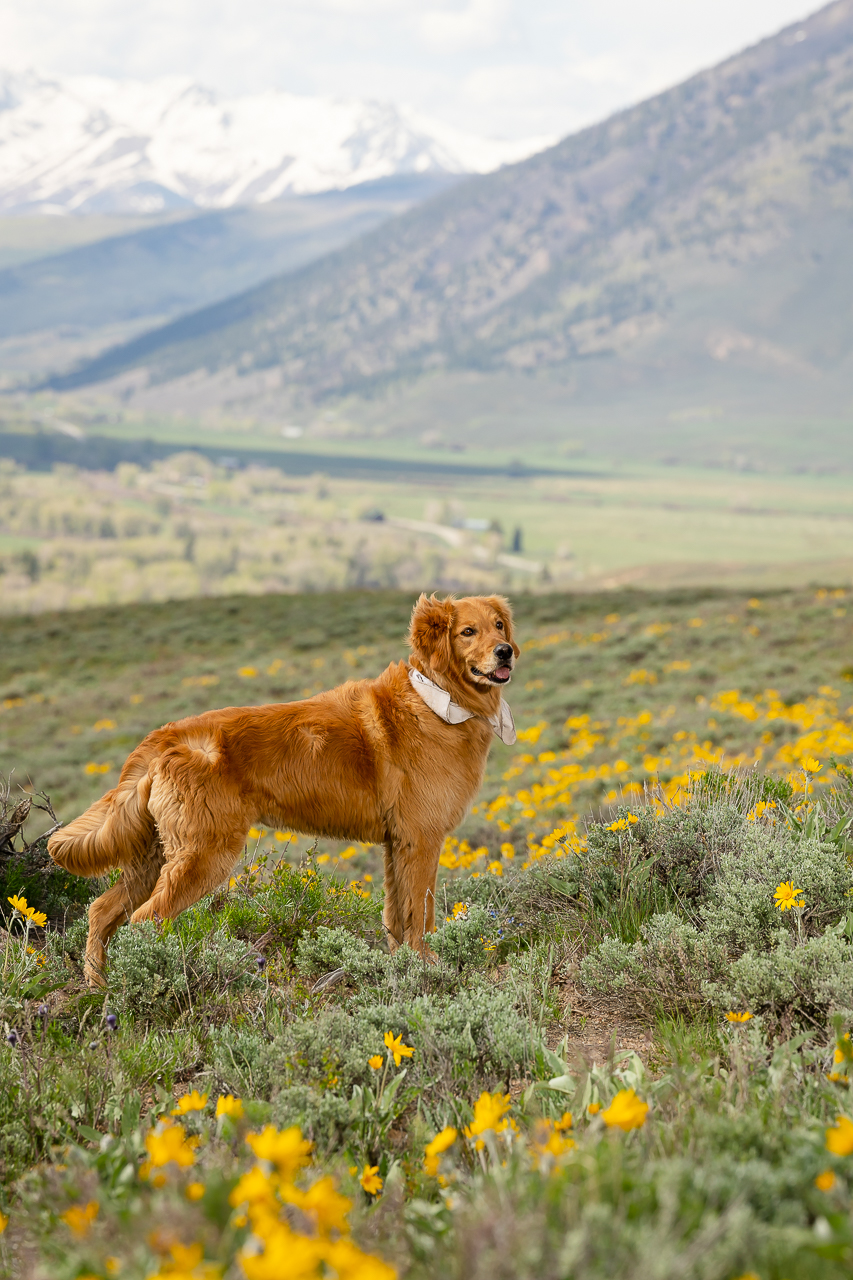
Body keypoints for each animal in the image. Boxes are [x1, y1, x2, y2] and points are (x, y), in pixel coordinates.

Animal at [51, 591, 517, 988]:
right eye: (468, 631)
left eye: (499, 625)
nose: (506, 651)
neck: (438, 700)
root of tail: (167, 735)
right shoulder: (421, 839)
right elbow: (421, 914)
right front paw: (427, 967)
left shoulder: (397, 843)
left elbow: (397, 917)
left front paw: (400, 963)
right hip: (202, 854)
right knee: (146, 920)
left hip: (158, 853)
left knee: (101, 910)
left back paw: (99, 987)